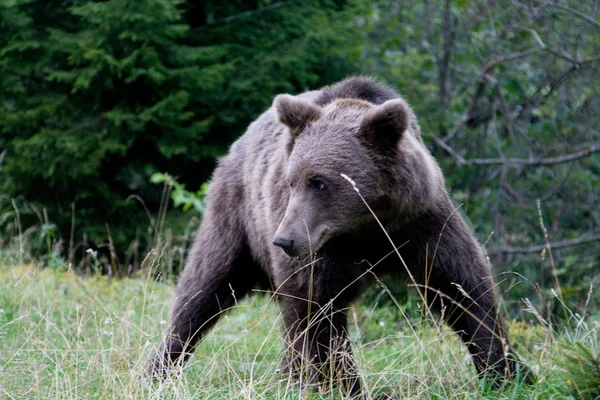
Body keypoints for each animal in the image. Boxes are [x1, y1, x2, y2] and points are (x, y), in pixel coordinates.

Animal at [146, 76, 528, 396]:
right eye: (291, 181)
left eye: (319, 182)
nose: (284, 241)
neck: (365, 226)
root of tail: (237, 143)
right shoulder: (323, 249)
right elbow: (319, 312)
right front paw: (346, 386)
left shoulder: (419, 225)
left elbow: (464, 288)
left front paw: (507, 370)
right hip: (236, 218)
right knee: (204, 288)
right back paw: (160, 367)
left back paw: (289, 376)